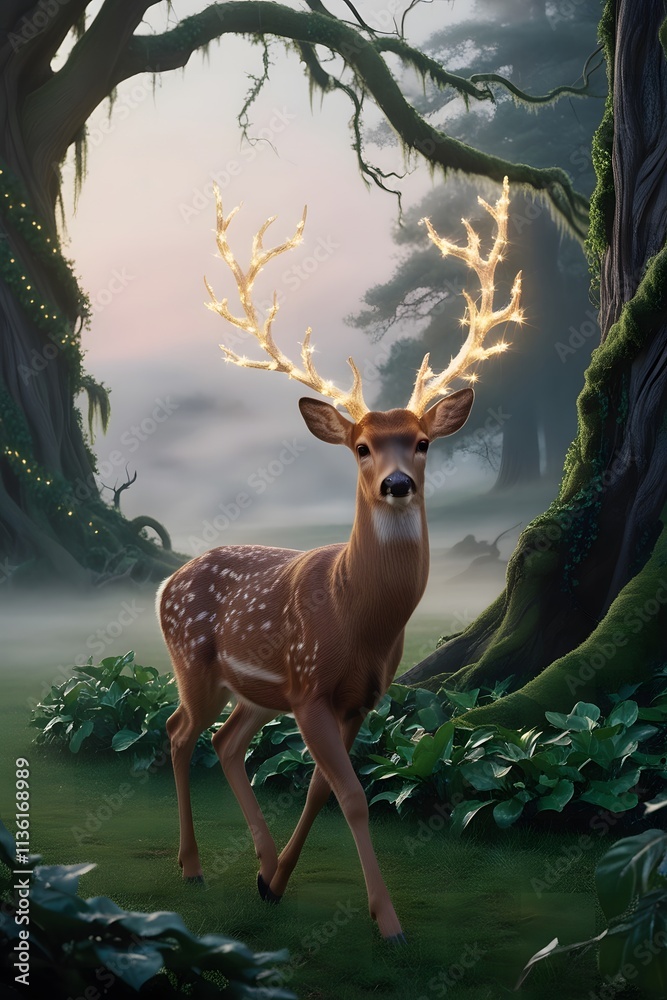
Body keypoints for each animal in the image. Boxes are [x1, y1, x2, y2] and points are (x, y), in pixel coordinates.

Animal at [157, 177, 523, 943]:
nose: (396, 483)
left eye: (422, 442)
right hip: (195, 660)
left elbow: (326, 788)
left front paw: (277, 883)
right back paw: (193, 867)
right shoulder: (310, 686)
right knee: (179, 732)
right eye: (361, 446)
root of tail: (165, 582)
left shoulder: (357, 697)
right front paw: (388, 922)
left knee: (226, 742)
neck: (359, 618)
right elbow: (352, 794)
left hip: (255, 691)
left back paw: (260, 866)